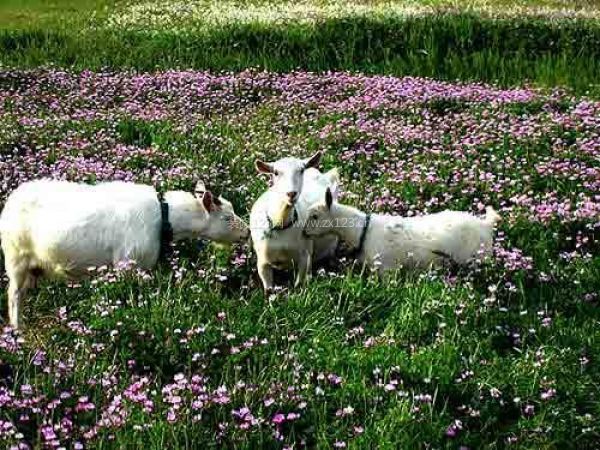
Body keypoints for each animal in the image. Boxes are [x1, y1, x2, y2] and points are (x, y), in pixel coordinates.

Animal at [0, 178, 248, 328]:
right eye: (226, 217)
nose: (246, 233)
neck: (165, 218)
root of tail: (12, 198)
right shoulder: (127, 264)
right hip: (16, 258)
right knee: (14, 295)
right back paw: (18, 330)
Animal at [250, 153, 342, 294]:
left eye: (301, 170)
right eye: (275, 172)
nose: (291, 194)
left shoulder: (303, 256)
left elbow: (299, 285)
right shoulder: (262, 262)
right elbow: (269, 290)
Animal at [304, 187, 502, 274]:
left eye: (315, 216)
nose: (304, 233)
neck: (362, 231)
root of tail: (486, 224)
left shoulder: (387, 268)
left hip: (476, 259)